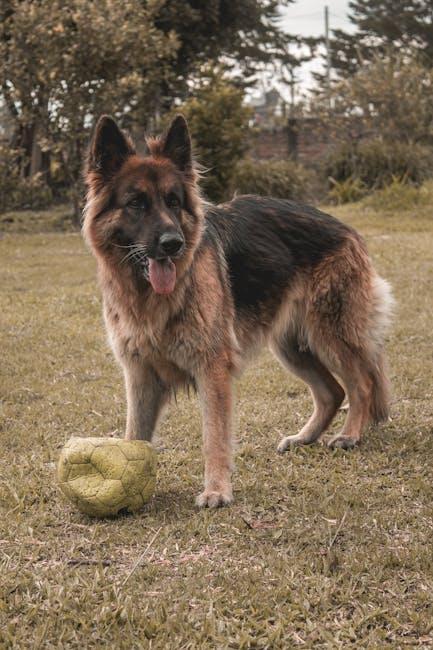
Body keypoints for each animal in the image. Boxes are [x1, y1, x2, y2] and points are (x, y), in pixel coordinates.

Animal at [82, 112, 394, 506]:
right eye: (136, 203)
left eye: (173, 201)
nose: (173, 244)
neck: (150, 296)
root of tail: (346, 228)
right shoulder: (140, 374)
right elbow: (134, 435)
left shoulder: (211, 368)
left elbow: (214, 436)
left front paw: (216, 490)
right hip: (291, 347)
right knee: (332, 393)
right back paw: (305, 437)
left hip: (330, 333)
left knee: (361, 383)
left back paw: (350, 434)